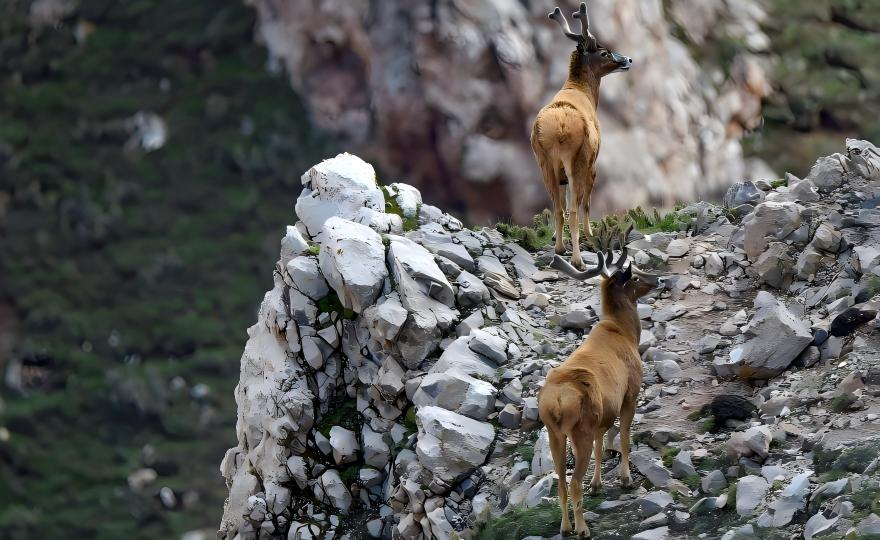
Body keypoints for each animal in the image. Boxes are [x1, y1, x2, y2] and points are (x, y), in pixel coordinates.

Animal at [531, 2, 633, 271]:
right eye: (605, 53)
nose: (628, 59)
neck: (581, 90)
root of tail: (559, 129)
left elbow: (565, 204)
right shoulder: (593, 163)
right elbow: (586, 204)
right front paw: (592, 236)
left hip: (544, 161)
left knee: (559, 208)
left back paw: (560, 249)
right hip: (578, 158)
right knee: (575, 209)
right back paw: (577, 260)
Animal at [538, 224, 660, 537]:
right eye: (635, 274)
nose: (658, 278)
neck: (625, 333)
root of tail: (556, 403)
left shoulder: (603, 413)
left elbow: (601, 443)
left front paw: (598, 485)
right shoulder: (630, 392)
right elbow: (625, 437)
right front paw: (626, 479)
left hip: (554, 432)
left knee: (560, 480)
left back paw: (565, 527)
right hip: (577, 429)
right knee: (572, 481)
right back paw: (582, 529)